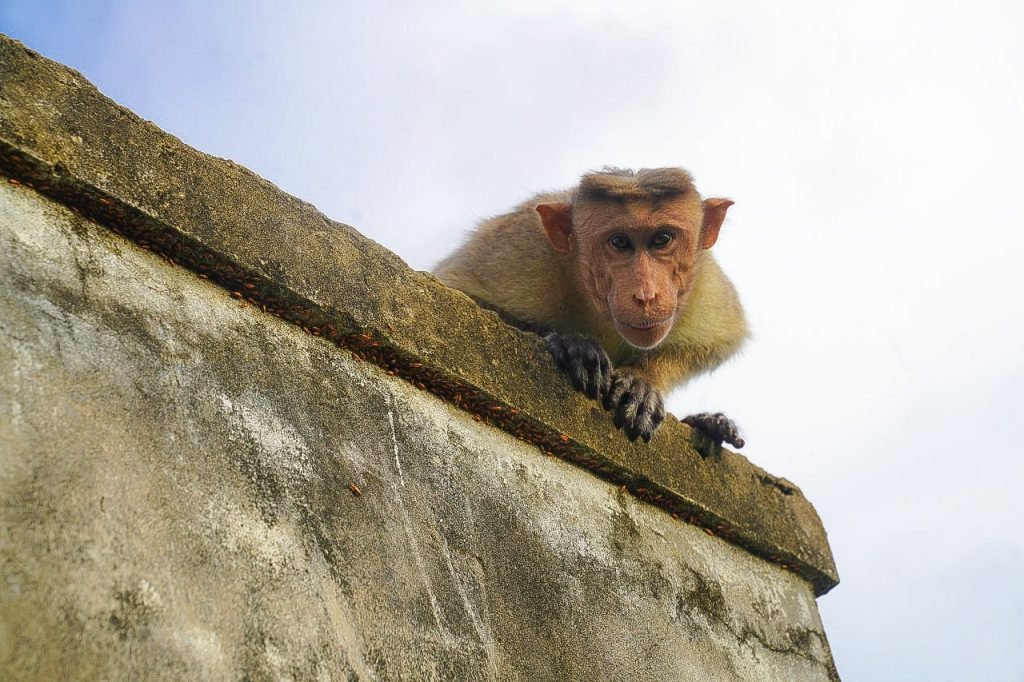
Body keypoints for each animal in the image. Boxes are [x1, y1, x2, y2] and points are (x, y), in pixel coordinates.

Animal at [434, 167, 747, 448]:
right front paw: (573, 344)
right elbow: (456, 289)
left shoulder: (704, 281)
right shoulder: (522, 247)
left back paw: (712, 425)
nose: (646, 295)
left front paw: (643, 381)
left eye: (662, 239)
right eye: (620, 242)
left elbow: (720, 339)